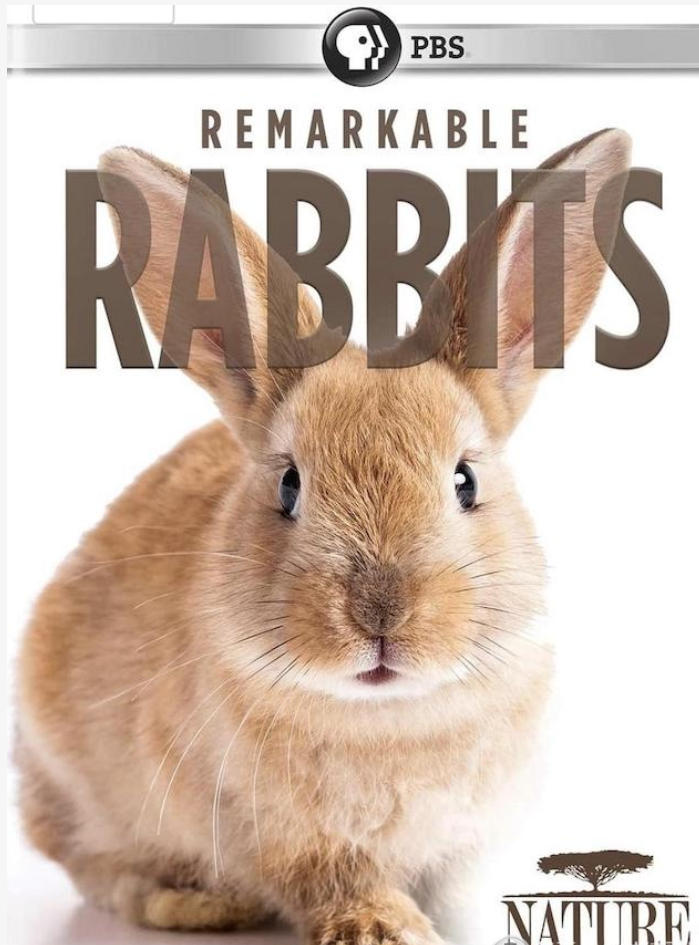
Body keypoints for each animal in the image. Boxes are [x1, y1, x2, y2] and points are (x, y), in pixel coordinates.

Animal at [15, 128, 630, 944]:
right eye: (288, 485)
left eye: (465, 481)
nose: (380, 614)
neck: (387, 720)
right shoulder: (285, 838)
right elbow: (335, 880)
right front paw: (386, 928)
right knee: (95, 864)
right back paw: (196, 902)